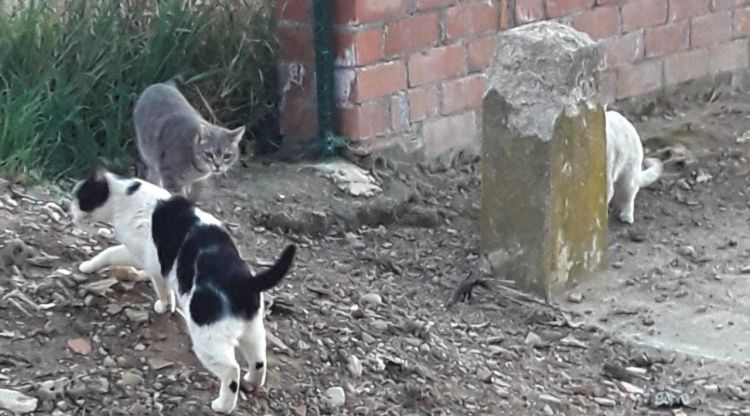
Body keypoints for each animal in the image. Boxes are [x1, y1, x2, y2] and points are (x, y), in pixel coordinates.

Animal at [69, 165, 296, 412]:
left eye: (80, 197)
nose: (69, 210)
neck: (127, 194)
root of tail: (243, 281)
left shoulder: (148, 258)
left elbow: (113, 256)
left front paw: (88, 266)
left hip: (207, 339)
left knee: (231, 369)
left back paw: (222, 405)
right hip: (252, 332)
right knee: (259, 360)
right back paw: (252, 383)